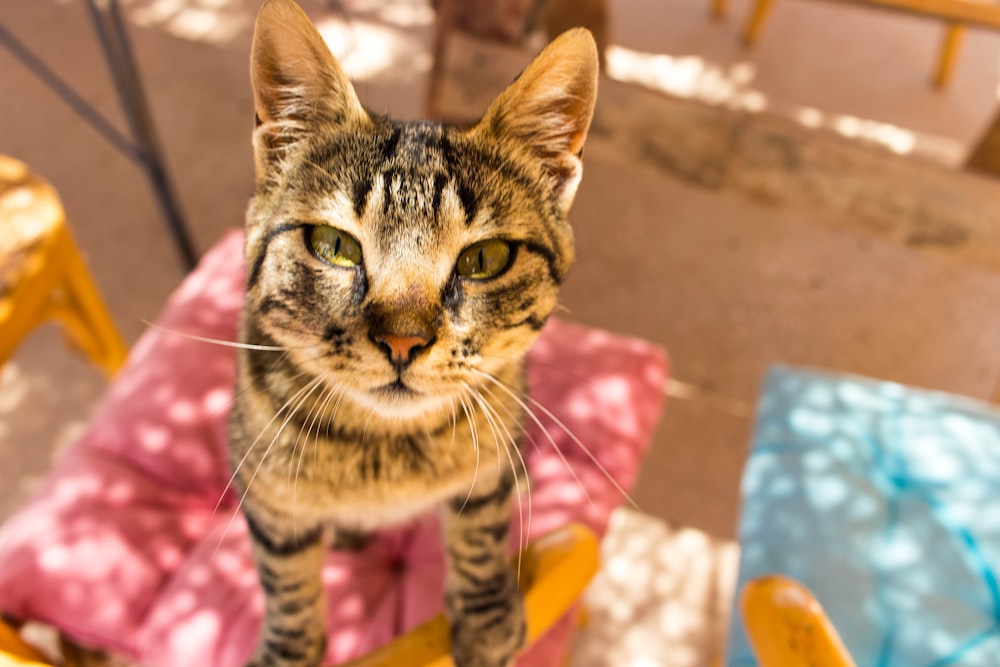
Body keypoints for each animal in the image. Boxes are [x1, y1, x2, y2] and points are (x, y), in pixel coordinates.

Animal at [230, 2, 596, 664]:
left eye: (484, 259)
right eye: (334, 246)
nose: (403, 341)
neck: (385, 451)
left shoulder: (493, 456)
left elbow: (481, 531)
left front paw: (487, 613)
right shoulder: (263, 490)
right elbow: (287, 581)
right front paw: (290, 647)